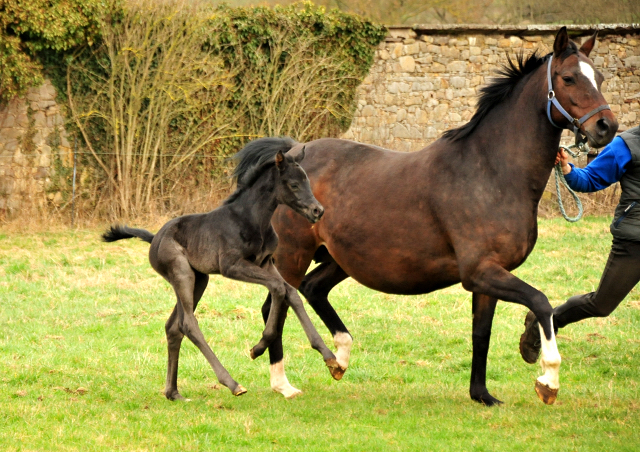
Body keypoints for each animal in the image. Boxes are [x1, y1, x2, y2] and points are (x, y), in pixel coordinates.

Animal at [102, 138, 342, 400]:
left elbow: (290, 293)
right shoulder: (232, 266)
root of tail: (155, 238)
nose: (317, 211)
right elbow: (278, 288)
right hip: (182, 274)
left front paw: (331, 359)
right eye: (293, 184)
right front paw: (258, 347)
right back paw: (232, 383)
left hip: (199, 279)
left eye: (307, 180)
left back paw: (173, 392)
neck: (252, 220)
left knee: (173, 326)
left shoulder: (266, 262)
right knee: (188, 324)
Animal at [250, 27, 616, 406]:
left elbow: (481, 334)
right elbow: (541, 303)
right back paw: (283, 383)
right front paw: (548, 381)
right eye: (568, 78)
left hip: (340, 259)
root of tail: (289, 156)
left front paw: (482, 395)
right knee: (277, 307)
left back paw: (339, 359)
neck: (490, 172)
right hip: (293, 255)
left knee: (312, 290)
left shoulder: (489, 277)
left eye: (600, 78)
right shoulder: (480, 272)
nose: (607, 126)